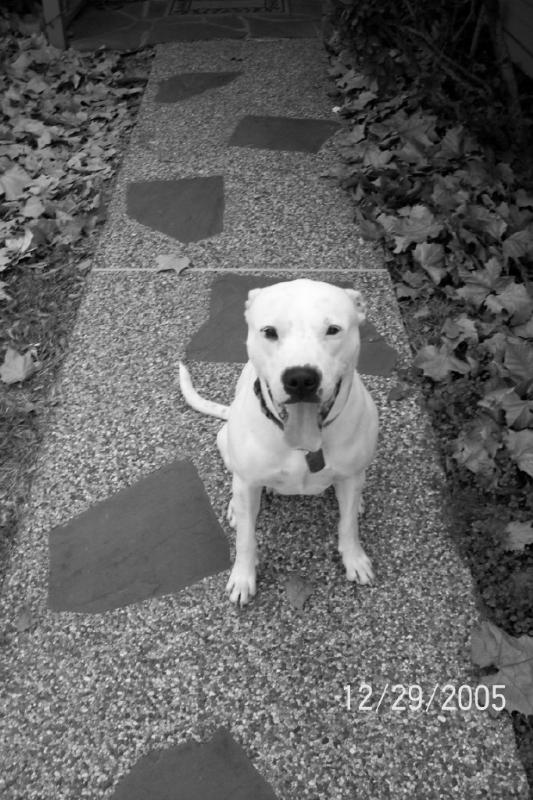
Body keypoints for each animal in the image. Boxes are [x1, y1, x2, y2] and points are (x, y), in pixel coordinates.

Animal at [179, 278, 379, 605]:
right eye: (269, 331)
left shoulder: (350, 476)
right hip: (226, 446)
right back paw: (235, 508)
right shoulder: (248, 483)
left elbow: (348, 524)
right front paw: (243, 577)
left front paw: (355, 559)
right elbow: (246, 538)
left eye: (333, 329)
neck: (303, 447)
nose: (301, 378)